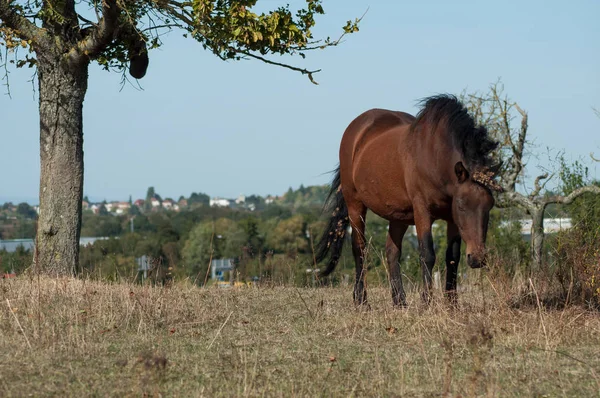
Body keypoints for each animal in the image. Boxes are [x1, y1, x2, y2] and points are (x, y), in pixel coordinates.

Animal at [316, 95, 500, 306]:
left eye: (489, 206)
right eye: (462, 205)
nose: (478, 258)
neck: (433, 157)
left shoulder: (451, 218)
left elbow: (452, 257)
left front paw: (452, 304)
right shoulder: (423, 211)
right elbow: (427, 254)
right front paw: (426, 302)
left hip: (399, 216)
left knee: (391, 252)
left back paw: (399, 302)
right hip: (355, 205)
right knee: (359, 248)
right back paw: (362, 300)